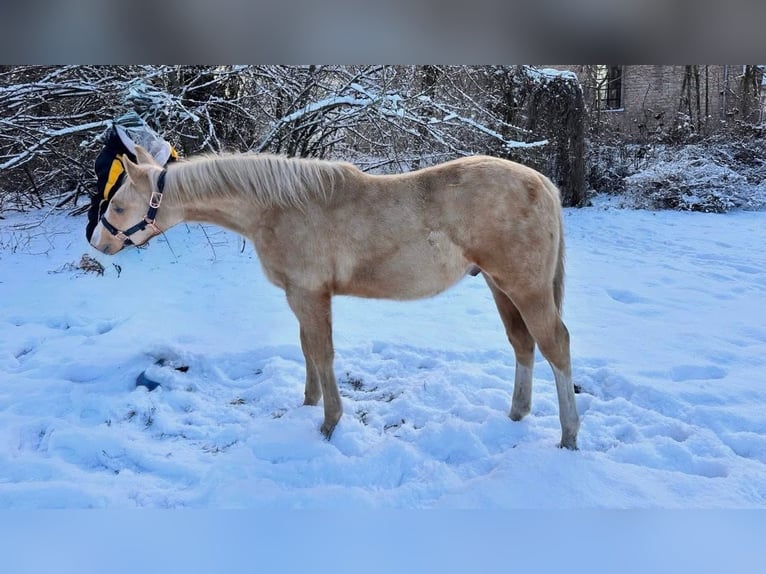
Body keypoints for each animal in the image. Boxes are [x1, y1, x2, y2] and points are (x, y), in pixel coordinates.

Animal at [89, 145, 580, 449]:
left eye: (118, 206)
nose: (97, 243)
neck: (277, 208)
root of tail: (543, 183)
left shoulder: (310, 293)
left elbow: (322, 352)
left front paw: (329, 423)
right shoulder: (299, 295)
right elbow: (307, 348)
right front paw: (308, 404)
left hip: (525, 288)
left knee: (556, 345)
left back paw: (569, 435)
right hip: (499, 286)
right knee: (523, 344)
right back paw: (516, 415)